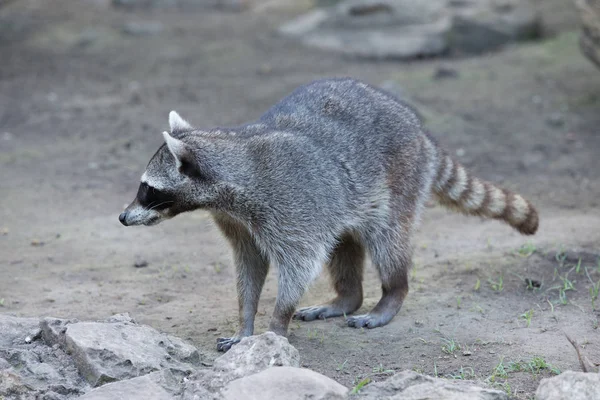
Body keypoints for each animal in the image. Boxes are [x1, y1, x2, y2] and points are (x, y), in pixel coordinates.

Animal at [118, 77, 540, 350]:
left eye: (147, 189)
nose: (122, 218)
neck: (232, 164)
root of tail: (418, 129)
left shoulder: (289, 206)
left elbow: (300, 262)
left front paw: (276, 323)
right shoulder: (238, 221)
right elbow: (250, 267)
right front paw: (245, 322)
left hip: (398, 180)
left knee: (388, 242)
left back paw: (392, 293)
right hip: (342, 202)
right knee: (345, 244)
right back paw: (347, 297)